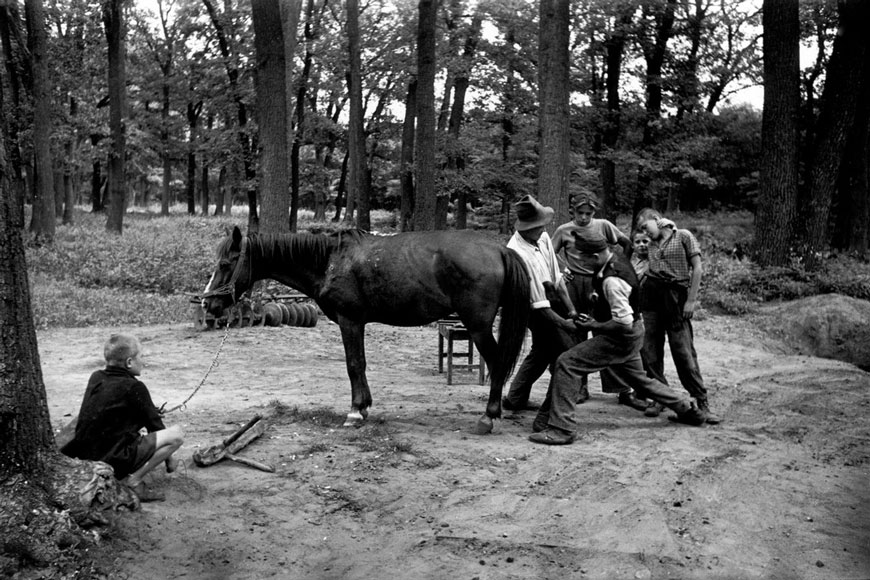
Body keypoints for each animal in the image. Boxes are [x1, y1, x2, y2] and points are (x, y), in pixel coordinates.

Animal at [204, 227, 532, 436]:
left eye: (225, 263)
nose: (208, 303)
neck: (330, 260)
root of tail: (499, 249)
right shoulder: (356, 323)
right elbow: (359, 365)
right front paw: (363, 408)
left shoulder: (349, 321)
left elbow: (353, 365)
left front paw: (354, 412)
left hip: (478, 327)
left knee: (497, 363)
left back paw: (489, 417)